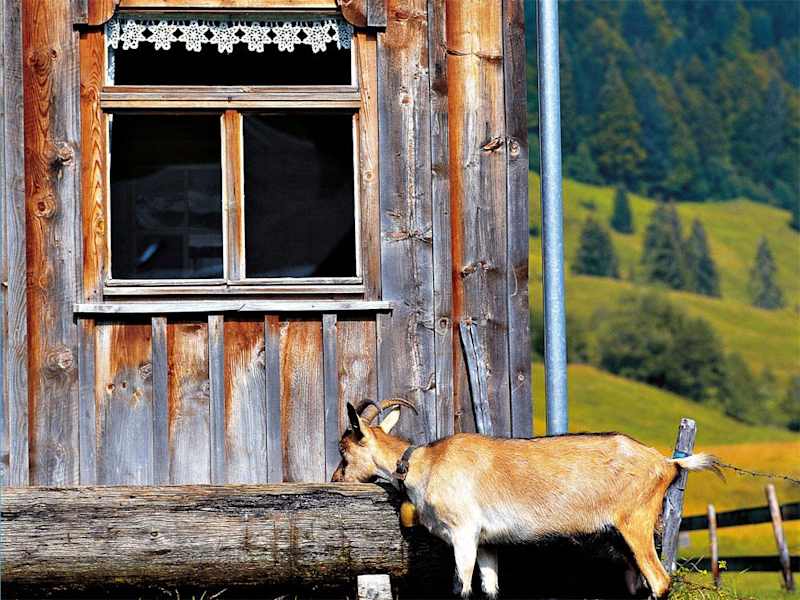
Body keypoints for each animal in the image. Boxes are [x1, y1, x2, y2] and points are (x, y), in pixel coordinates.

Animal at [331, 399, 721, 599]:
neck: (426, 463)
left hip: (635, 522)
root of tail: (667, 463)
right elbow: (489, 588)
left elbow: (463, 588)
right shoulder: (487, 541)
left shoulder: (464, 532)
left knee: (660, 580)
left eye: (343, 448)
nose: (336, 478)